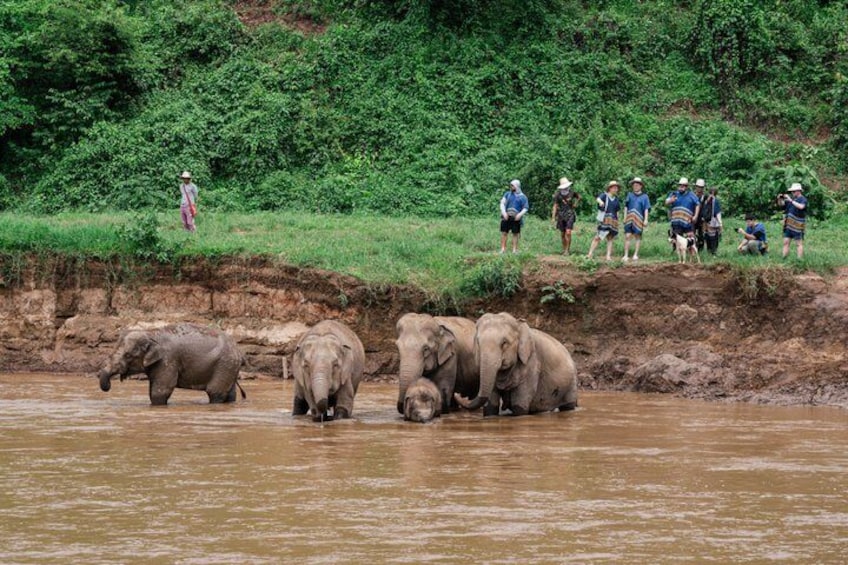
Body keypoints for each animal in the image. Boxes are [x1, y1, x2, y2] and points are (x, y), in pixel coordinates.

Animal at [98, 323, 245, 405]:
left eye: (128, 355)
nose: (108, 386)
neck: (152, 332)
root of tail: (238, 350)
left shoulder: (168, 360)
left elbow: (161, 391)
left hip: (225, 365)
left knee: (215, 392)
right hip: (229, 367)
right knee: (230, 394)